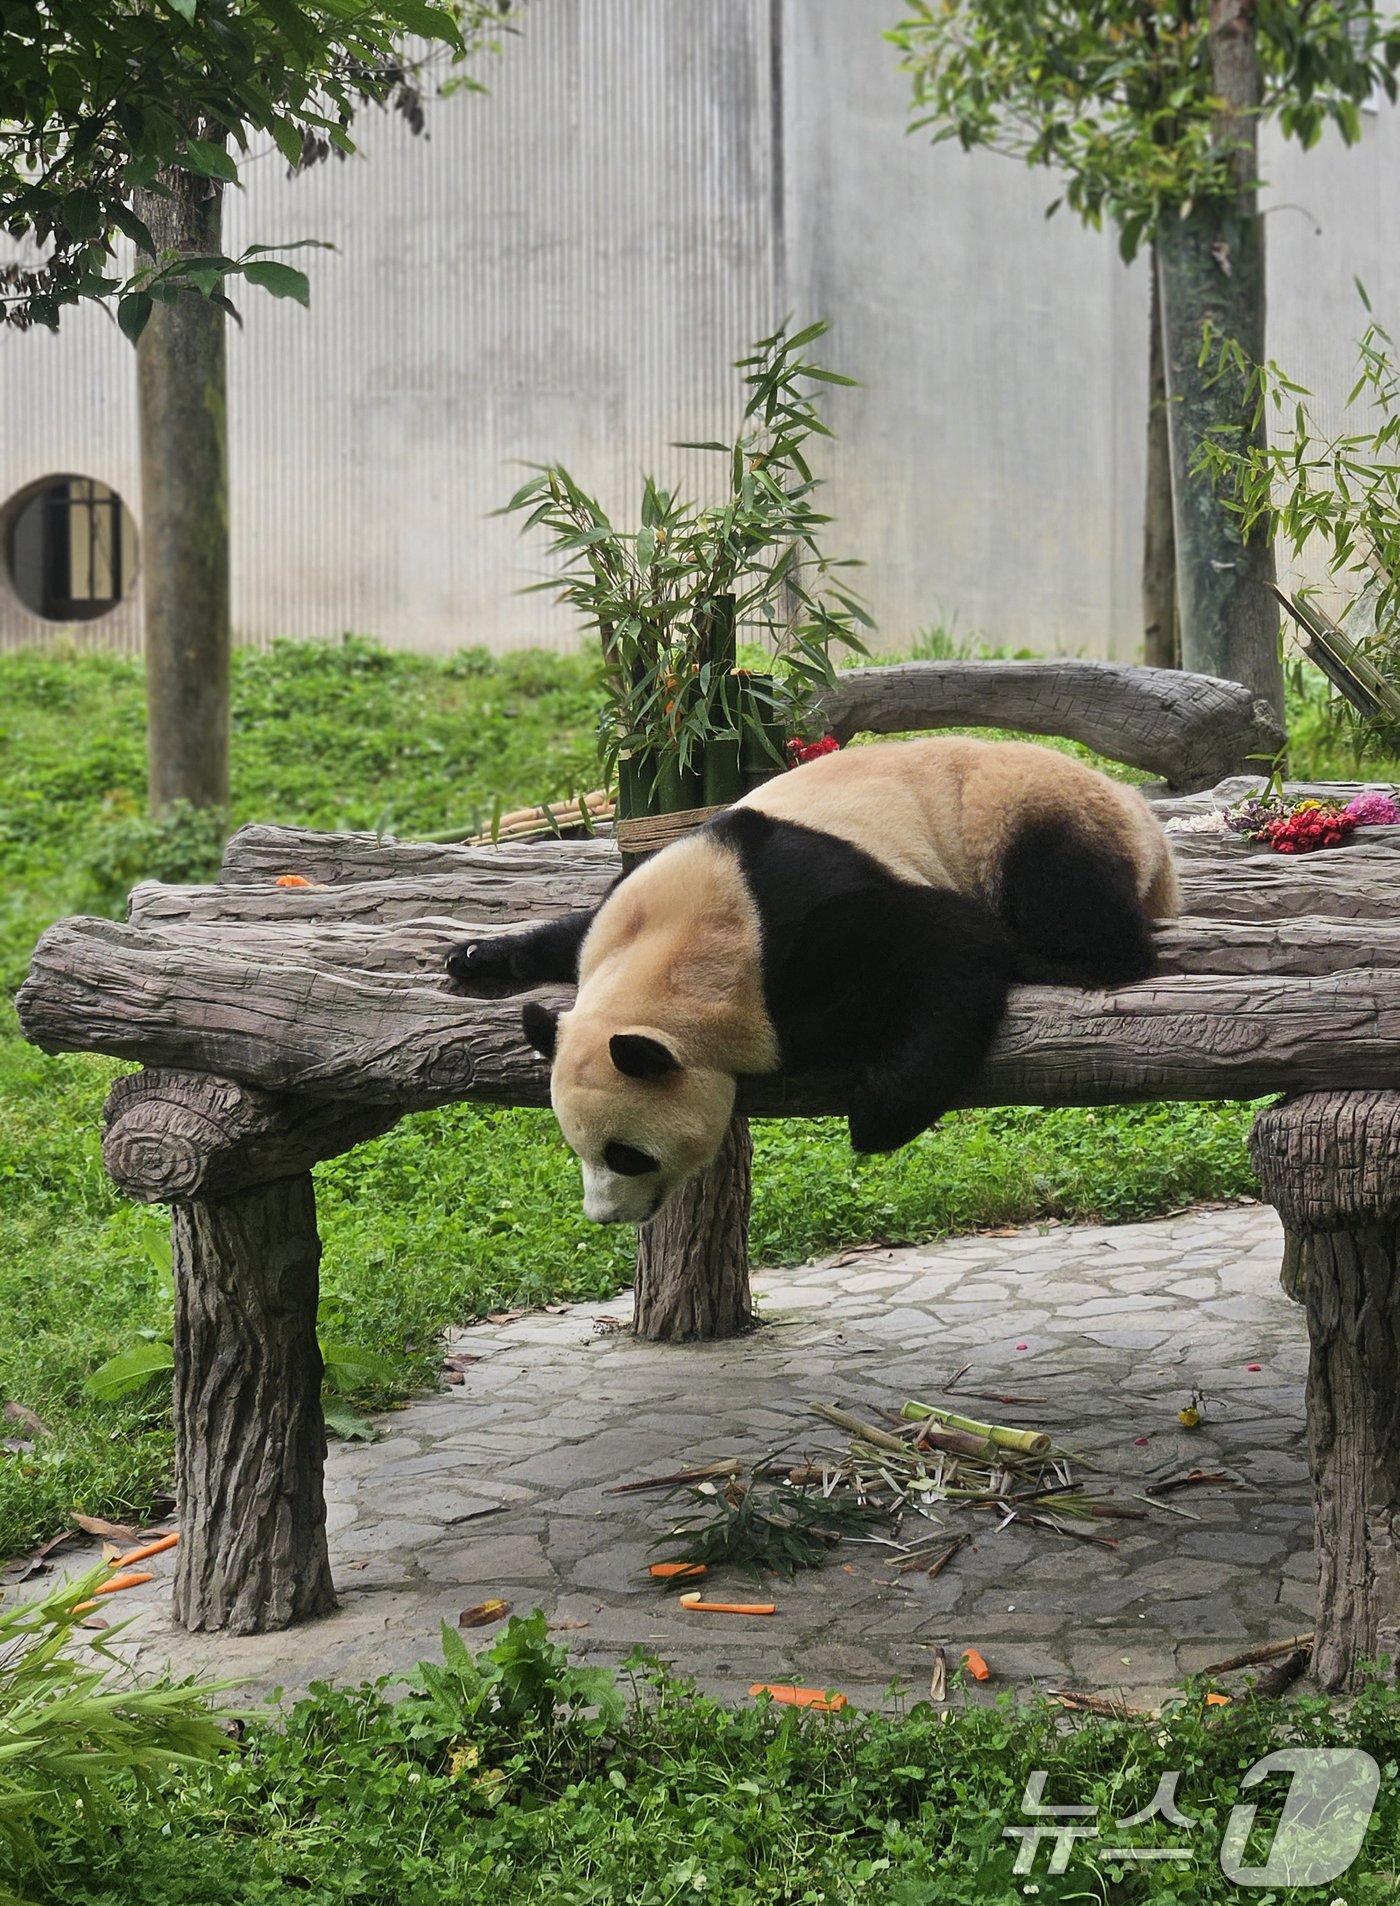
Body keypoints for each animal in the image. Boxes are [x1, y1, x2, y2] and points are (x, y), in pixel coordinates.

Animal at [443, 735, 1180, 1227]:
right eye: (578, 1150)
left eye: (625, 1156)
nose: (604, 1218)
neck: (678, 955)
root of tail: (1143, 818)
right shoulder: (632, 906)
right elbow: (572, 934)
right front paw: (477, 956)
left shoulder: (795, 940)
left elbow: (950, 944)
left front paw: (875, 1118)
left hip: (1021, 815)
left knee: (1076, 900)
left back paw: (1046, 956)